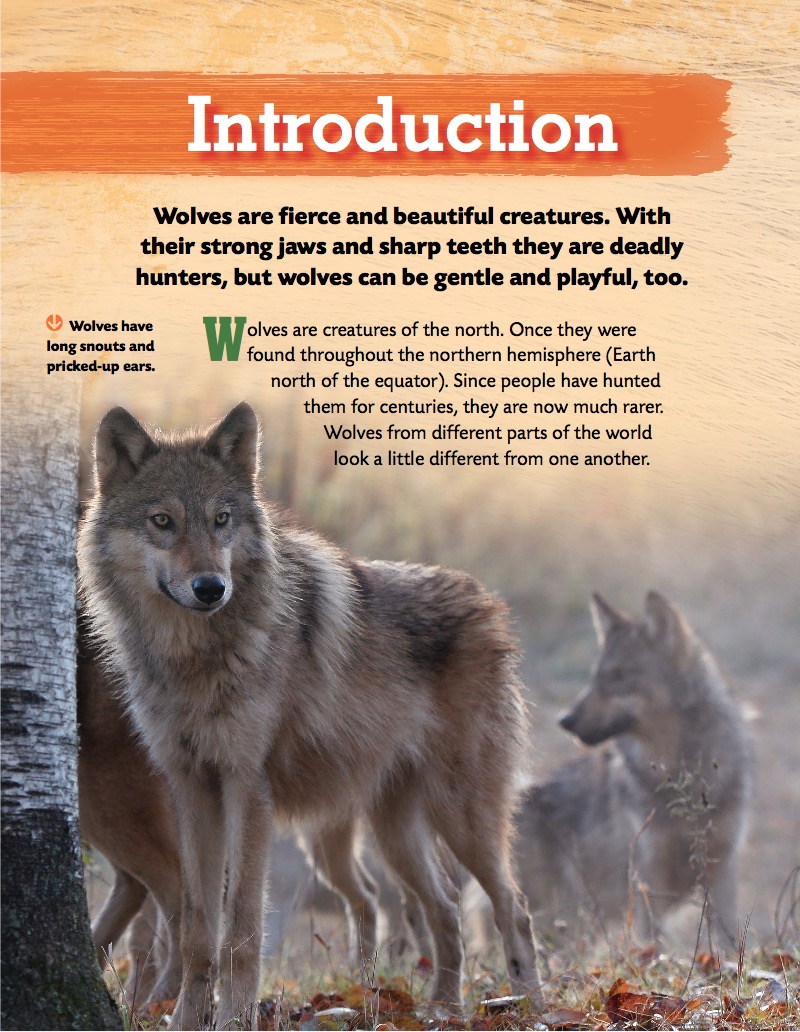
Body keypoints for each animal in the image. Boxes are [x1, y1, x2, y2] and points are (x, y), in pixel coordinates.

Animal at [77, 402, 541, 1030]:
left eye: (221, 520)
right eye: (162, 521)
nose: (210, 587)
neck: (192, 658)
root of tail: (487, 600)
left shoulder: (246, 789)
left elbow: (240, 933)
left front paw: (232, 1021)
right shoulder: (191, 786)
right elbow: (197, 931)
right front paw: (184, 1021)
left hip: (460, 816)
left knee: (513, 907)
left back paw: (535, 1008)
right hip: (395, 833)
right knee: (444, 908)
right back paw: (442, 1009)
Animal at [468, 592, 751, 954]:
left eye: (618, 676)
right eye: (595, 677)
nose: (564, 720)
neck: (681, 772)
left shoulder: (722, 869)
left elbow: (727, 939)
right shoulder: (647, 881)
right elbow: (654, 945)